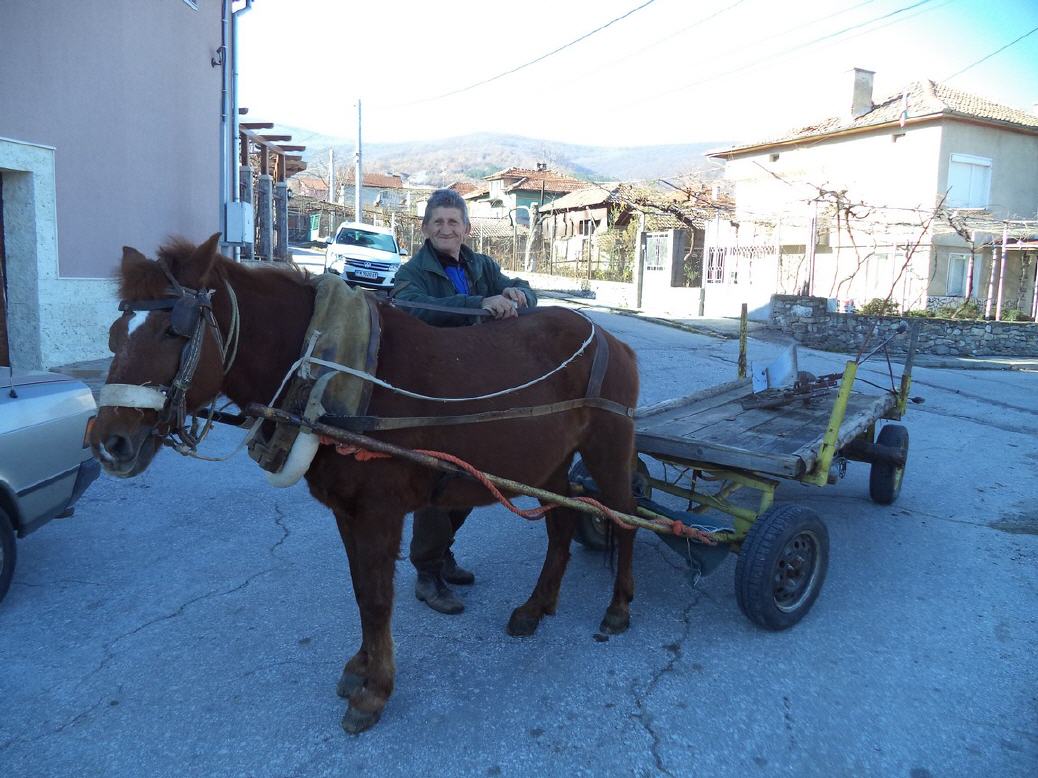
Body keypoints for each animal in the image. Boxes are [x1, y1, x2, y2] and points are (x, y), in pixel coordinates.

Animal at [91, 234, 639, 734]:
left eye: (173, 330)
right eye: (116, 333)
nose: (107, 442)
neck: (324, 370)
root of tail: (610, 338)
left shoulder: (379, 512)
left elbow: (377, 599)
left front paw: (374, 692)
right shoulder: (346, 510)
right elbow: (360, 590)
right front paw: (360, 667)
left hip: (609, 450)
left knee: (624, 520)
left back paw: (617, 609)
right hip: (550, 465)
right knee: (562, 525)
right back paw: (536, 606)